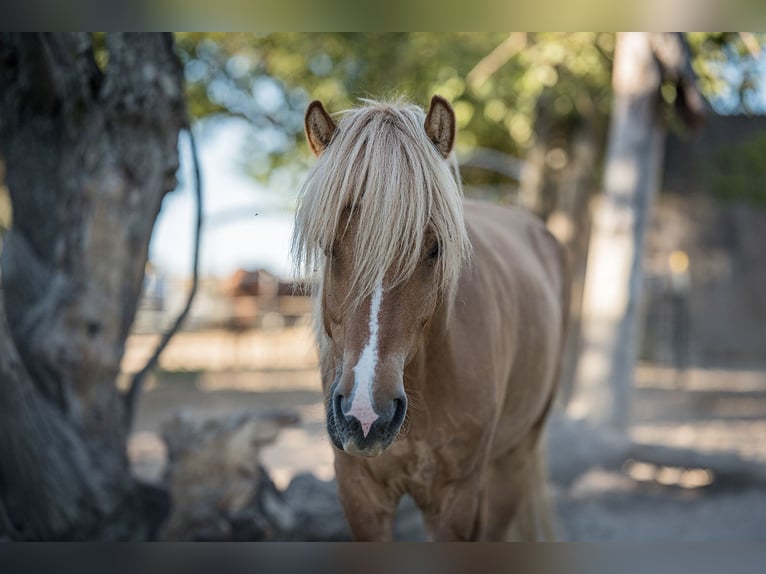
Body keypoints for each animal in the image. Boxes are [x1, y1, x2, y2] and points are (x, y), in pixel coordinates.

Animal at [294, 97, 568, 544]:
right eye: (328, 246)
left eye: (434, 248)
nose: (366, 415)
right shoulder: (361, 496)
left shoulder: (453, 501)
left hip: (513, 460)